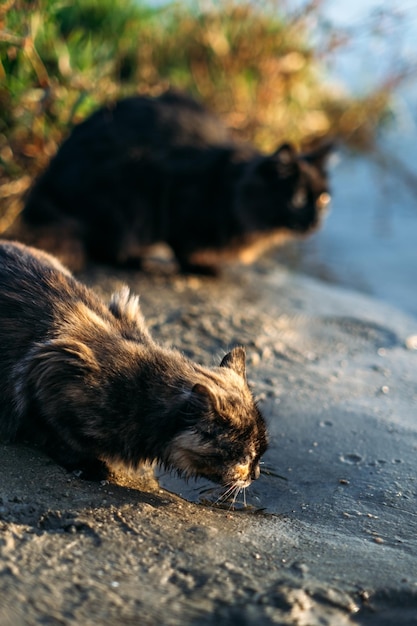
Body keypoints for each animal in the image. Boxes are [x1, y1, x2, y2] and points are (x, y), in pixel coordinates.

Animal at [20, 91, 332, 272]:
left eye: (323, 199)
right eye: (298, 198)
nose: (316, 221)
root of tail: (48, 183)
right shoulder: (180, 203)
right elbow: (185, 247)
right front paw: (203, 267)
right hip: (129, 202)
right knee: (104, 247)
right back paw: (140, 262)